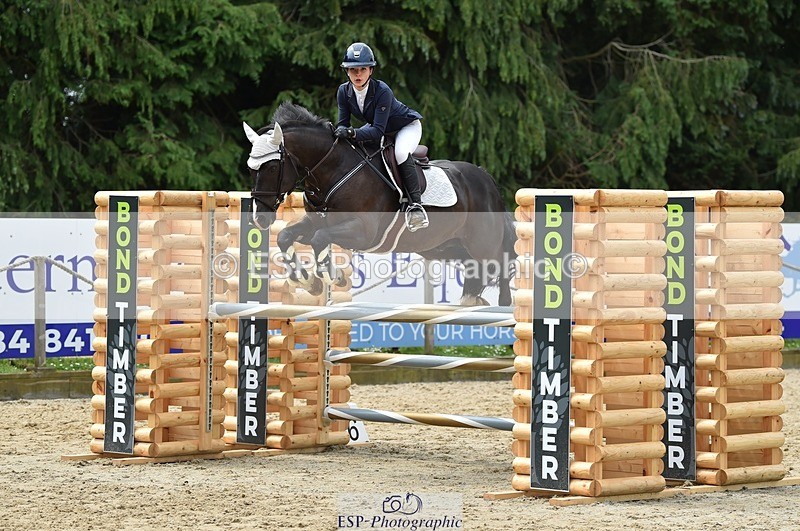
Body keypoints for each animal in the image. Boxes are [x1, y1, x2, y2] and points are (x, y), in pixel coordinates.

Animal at [243, 102, 516, 306]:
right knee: (476, 274)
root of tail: (486, 178)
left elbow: (320, 239)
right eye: (250, 168)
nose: (260, 218)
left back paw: (505, 305)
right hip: (445, 247)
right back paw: (473, 302)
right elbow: (286, 237)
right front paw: (309, 282)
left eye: (272, 167)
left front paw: (334, 277)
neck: (334, 168)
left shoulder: (363, 231)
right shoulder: (315, 221)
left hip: (483, 246)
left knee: (503, 264)